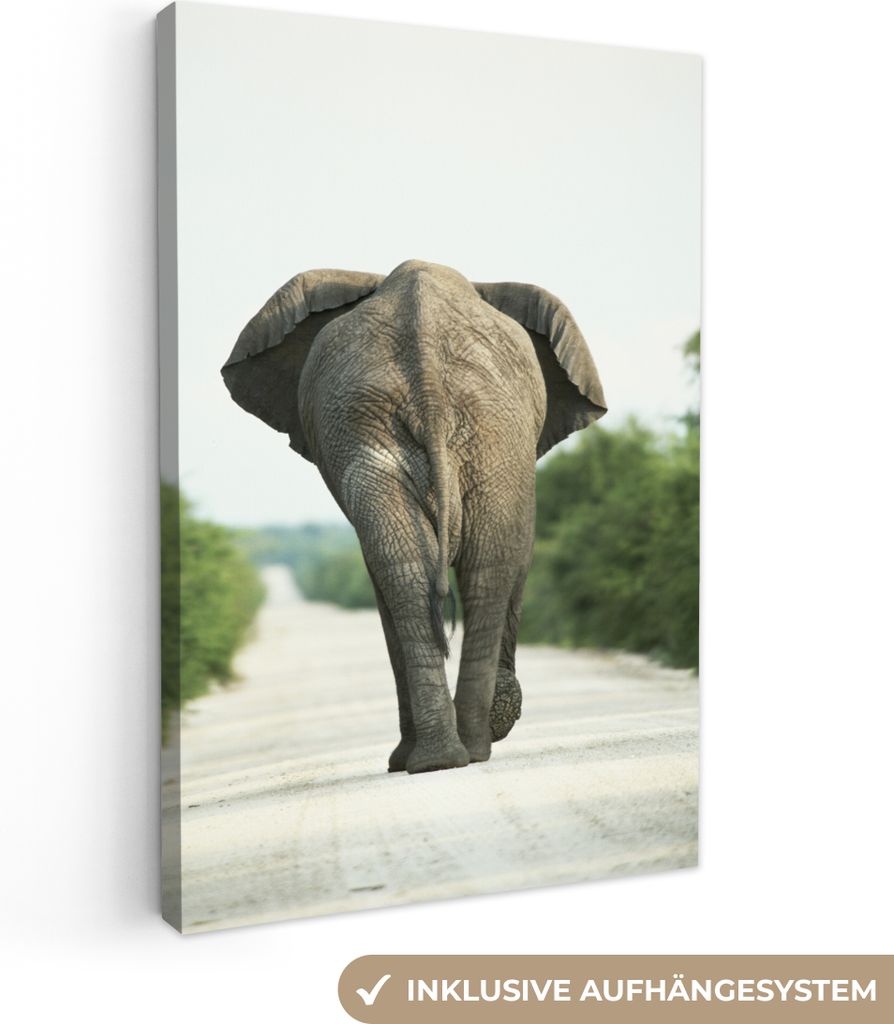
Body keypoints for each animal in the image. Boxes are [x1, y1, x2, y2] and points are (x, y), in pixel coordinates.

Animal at [222, 259, 606, 774]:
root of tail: (427, 376)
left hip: (453, 428)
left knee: (436, 569)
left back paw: (449, 755)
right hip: (441, 427)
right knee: (462, 568)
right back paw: (452, 755)